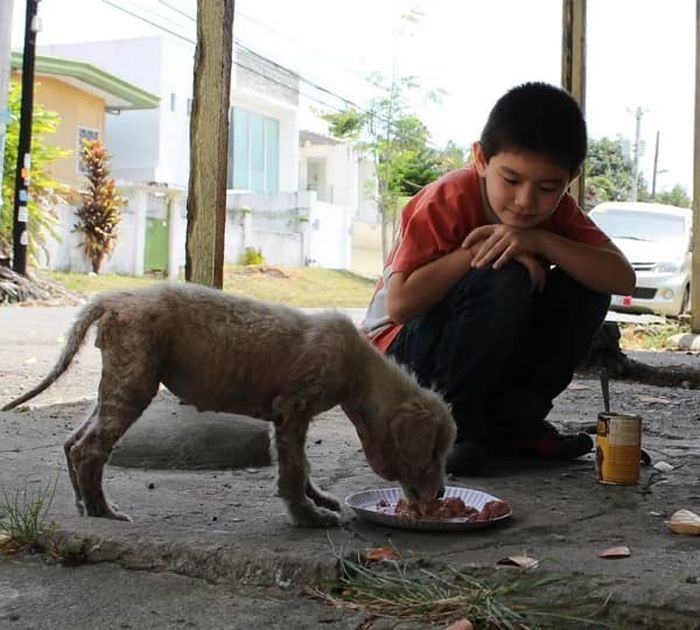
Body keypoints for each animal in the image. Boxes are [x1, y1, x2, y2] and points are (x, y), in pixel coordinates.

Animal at [2, 286, 456, 528]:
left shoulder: (289, 419)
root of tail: (114, 298)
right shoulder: (292, 409)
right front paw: (307, 516)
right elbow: (292, 473)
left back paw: (83, 503)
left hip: (118, 381)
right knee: (88, 448)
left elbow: (303, 466)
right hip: (133, 381)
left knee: (73, 442)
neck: (358, 367)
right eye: (434, 452)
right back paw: (102, 511)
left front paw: (318, 499)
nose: (440, 494)